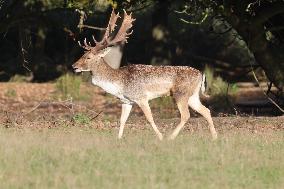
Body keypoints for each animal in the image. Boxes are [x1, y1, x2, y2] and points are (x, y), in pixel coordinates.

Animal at [72, 9, 217, 140]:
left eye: (89, 57)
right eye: (82, 54)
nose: (74, 66)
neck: (118, 84)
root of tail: (201, 74)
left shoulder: (141, 97)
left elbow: (149, 118)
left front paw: (160, 137)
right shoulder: (126, 101)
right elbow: (122, 120)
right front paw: (118, 139)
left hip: (180, 93)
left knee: (186, 115)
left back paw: (170, 137)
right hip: (192, 95)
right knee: (206, 110)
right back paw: (214, 137)